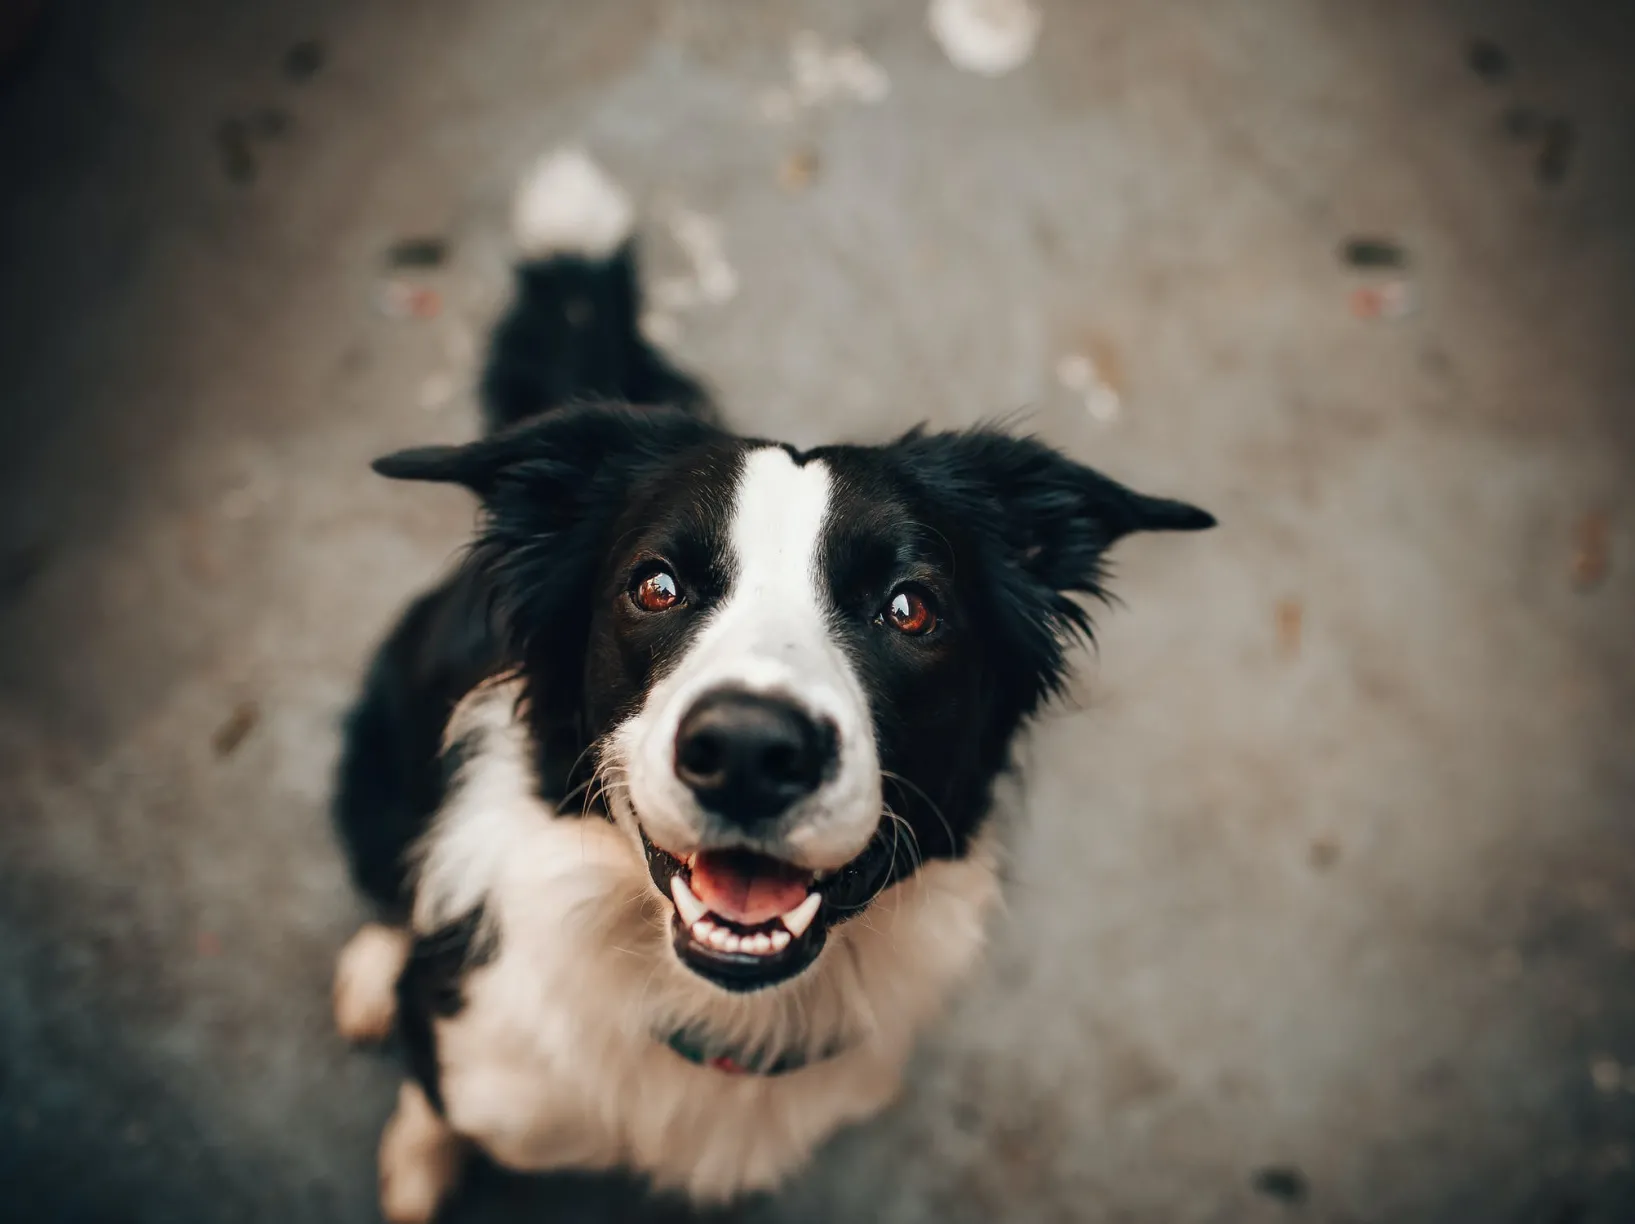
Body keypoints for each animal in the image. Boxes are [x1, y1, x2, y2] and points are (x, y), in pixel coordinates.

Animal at [328, 147, 1216, 1215]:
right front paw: (418, 1167)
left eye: (909, 607)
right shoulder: (475, 1059)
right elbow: (433, 1101)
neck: (712, 1013)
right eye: (656, 586)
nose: (749, 752)